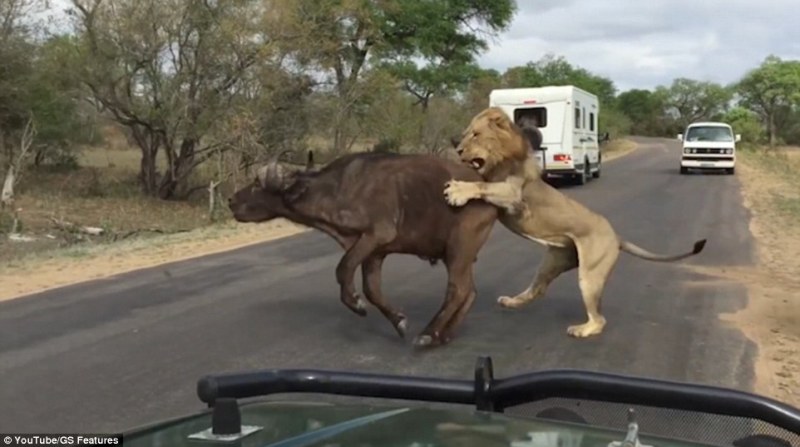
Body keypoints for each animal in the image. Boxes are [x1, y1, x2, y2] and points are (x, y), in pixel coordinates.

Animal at [225, 150, 496, 346]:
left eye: (257, 184)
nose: (231, 200)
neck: (337, 189)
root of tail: (485, 189)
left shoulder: (375, 236)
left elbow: (343, 269)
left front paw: (356, 304)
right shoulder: (374, 252)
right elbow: (372, 289)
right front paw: (398, 320)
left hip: (459, 248)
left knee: (457, 290)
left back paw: (429, 333)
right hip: (458, 255)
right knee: (470, 292)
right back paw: (444, 334)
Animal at [444, 107, 708, 340]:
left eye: (475, 134)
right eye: (466, 133)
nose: (458, 149)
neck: (500, 158)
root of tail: (617, 237)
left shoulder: (514, 195)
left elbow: (483, 185)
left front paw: (457, 190)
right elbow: (483, 183)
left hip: (590, 275)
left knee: (599, 319)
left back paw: (582, 330)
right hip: (552, 262)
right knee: (538, 288)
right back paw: (512, 301)